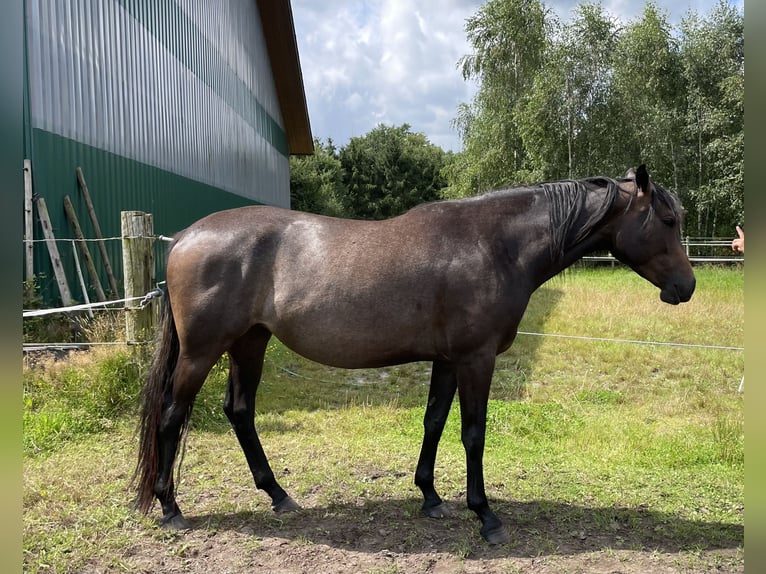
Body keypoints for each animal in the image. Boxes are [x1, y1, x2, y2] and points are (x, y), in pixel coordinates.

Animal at [135, 165, 700, 544]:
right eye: (668, 218)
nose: (687, 287)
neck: (493, 244)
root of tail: (185, 236)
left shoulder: (448, 360)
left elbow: (433, 421)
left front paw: (430, 497)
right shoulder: (476, 359)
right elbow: (473, 433)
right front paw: (485, 516)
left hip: (250, 342)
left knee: (240, 411)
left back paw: (278, 496)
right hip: (202, 352)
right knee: (172, 414)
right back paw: (171, 507)